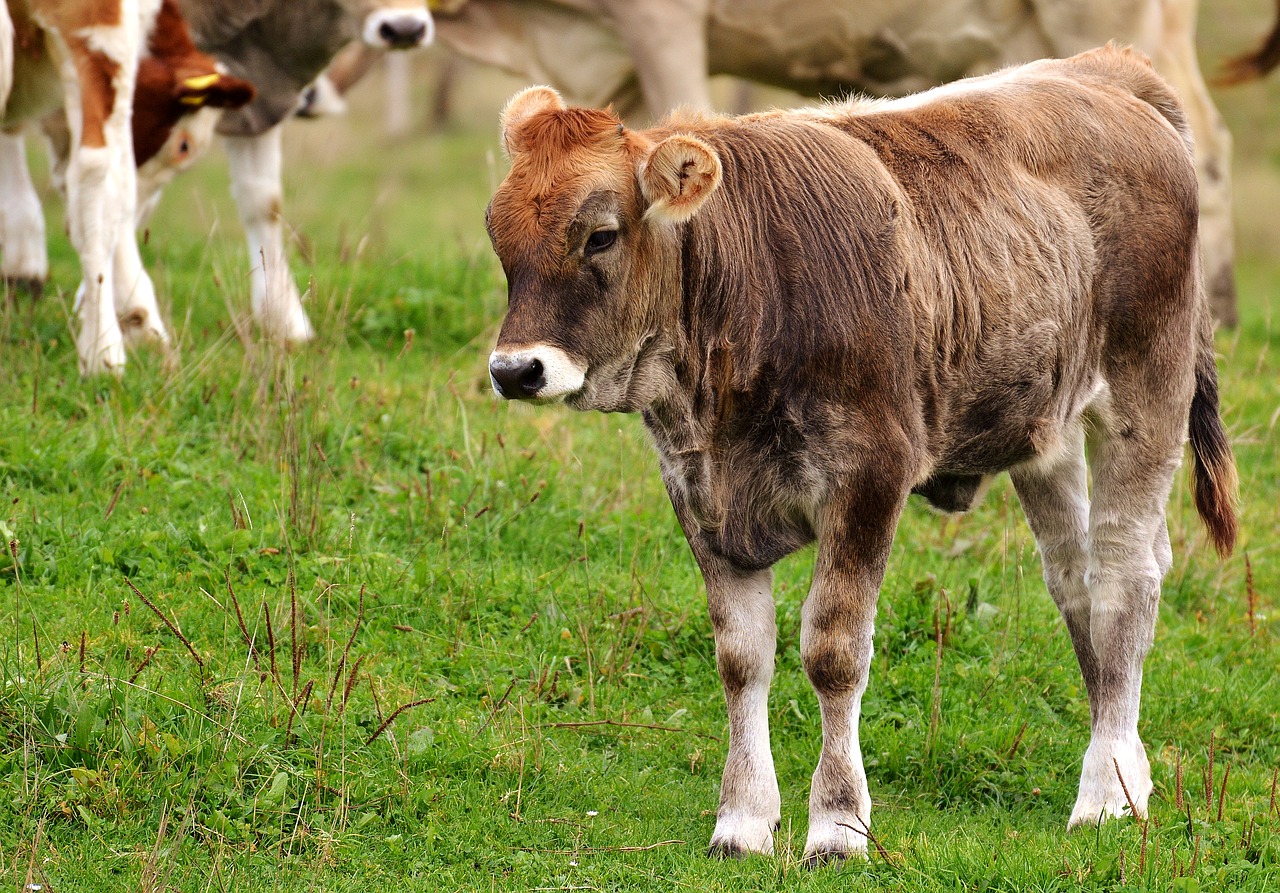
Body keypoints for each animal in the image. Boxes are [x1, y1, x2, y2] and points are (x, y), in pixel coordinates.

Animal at [481, 45, 1239, 859]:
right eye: (498, 235)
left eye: (599, 235)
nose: (516, 370)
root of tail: (1106, 68)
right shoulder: (697, 491)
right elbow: (740, 656)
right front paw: (742, 819)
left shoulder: (870, 476)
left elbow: (833, 651)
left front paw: (838, 824)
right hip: (1047, 434)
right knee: (1079, 581)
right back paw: (1128, 773)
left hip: (1145, 396)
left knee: (1126, 581)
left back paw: (1104, 794)